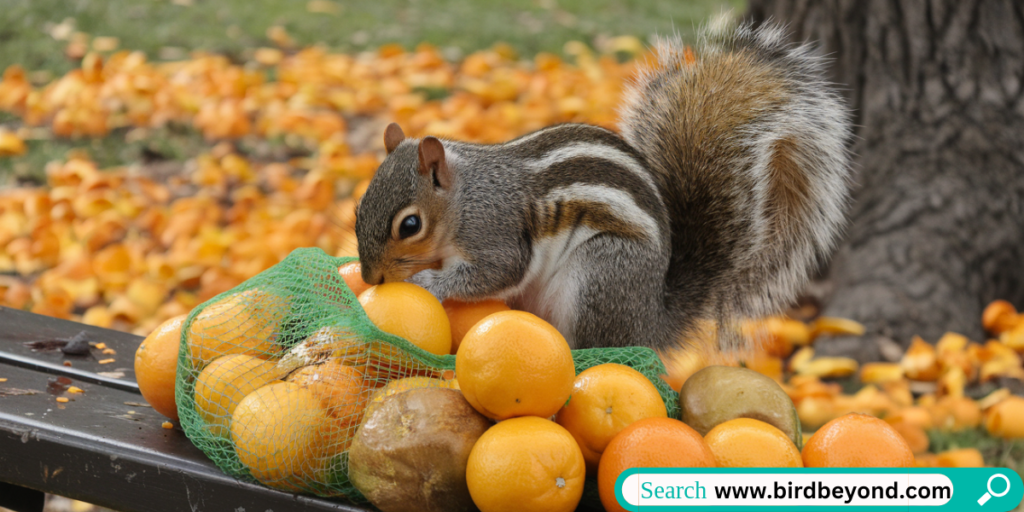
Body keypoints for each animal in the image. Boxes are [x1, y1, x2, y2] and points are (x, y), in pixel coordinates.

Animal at [356, 23, 851, 352]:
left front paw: (429, 281)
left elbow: (493, 272)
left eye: (410, 225)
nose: (370, 278)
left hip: (600, 275)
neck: (463, 196)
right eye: (357, 211)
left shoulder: (495, 229)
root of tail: (650, 322)